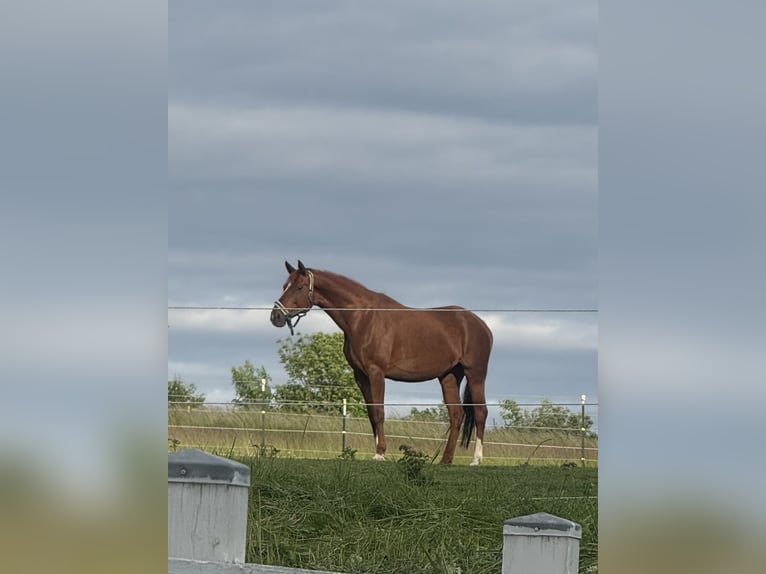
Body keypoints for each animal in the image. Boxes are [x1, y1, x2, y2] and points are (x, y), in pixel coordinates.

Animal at [270, 260, 493, 465]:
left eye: (299, 287)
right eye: (284, 286)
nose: (276, 316)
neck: (362, 317)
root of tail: (480, 324)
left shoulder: (376, 372)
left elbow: (379, 412)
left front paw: (380, 453)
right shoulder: (361, 375)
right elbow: (371, 413)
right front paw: (378, 451)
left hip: (475, 373)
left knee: (480, 412)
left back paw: (476, 459)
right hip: (449, 376)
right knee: (456, 414)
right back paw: (445, 460)